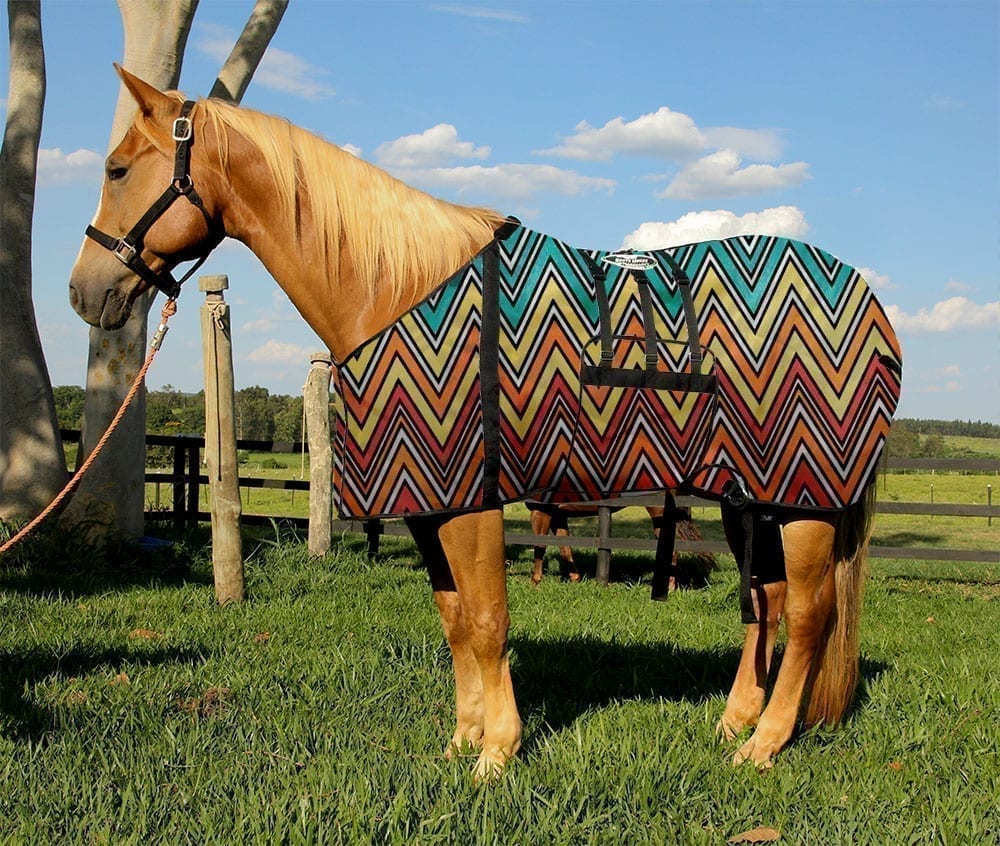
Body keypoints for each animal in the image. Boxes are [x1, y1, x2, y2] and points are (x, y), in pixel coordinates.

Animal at [68, 67, 900, 779]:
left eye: (117, 170)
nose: (84, 293)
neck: (395, 288)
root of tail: (865, 297)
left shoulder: (471, 500)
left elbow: (487, 620)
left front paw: (497, 754)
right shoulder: (425, 506)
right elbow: (454, 618)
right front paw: (462, 739)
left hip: (804, 502)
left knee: (810, 613)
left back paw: (764, 745)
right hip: (747, 496)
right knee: (766, 604)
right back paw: (735, 723)